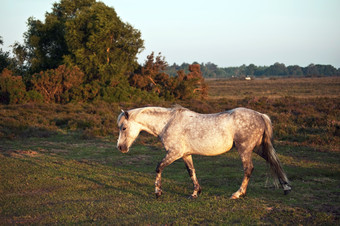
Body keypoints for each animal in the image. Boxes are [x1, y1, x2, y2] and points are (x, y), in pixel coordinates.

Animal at [116, 106, 290, 200]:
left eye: (123, 128)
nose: (121, 148)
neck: (168, 123)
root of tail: (260, 115)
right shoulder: (185, 155)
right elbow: (191, 171)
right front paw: (195, 193)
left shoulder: (174, 153)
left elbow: (159, 167)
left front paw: (158, 192)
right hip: (258, 148)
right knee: (274, 162)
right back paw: (286, 188)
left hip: (245, 149)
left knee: (248, 169)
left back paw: (238, 194)